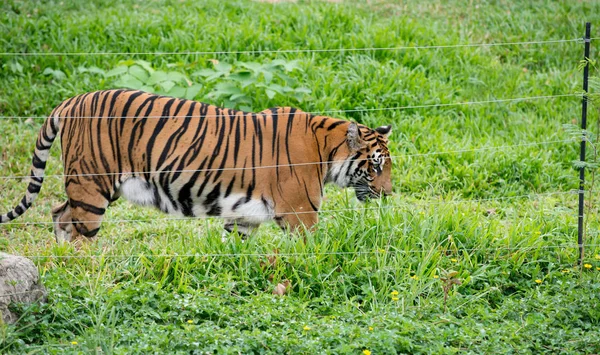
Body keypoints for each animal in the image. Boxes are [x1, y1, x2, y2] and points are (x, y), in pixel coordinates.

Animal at [0, 90, 392, 243]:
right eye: (375, 167)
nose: (389, 194)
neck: (325, 150)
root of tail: (73, 99)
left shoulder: (244, 214)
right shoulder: (300, 215)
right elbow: (312, 251)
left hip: (95, 187)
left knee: (57, 212)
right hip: (92, 184)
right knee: (77, 226)